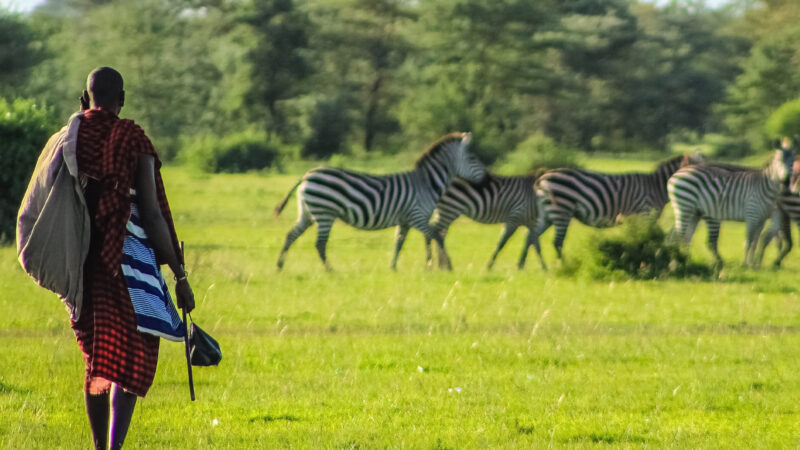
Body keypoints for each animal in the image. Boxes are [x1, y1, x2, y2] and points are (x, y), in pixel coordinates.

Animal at [274, 132, 486, 271]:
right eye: (472, 158)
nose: (485, 179)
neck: (426, 183)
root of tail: (306, 175)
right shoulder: (417, 216)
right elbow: (436, 235)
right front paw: (446, 265)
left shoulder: (405, 220)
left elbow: (399, 242)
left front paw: (393, 267)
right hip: (325, 212)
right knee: (319, 243)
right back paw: (330, 270)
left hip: (308, 213)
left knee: (291, 235)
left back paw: (279, 265)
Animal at [531, 153, 705, 268]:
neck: (655, 187)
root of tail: (542, 177)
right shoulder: (644, 213)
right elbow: (644, 240)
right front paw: (643, 261)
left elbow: (640, 239)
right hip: (562, 209)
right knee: (557, 242)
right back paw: (564, 266)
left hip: (548, 213)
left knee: (533, 237)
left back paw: (540, 267)